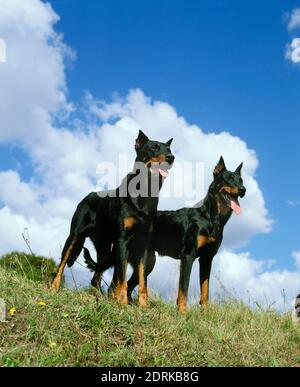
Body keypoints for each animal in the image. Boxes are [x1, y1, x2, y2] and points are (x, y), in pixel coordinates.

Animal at [51, 131, 173, 310]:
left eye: (169, 149)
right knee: (63, 263)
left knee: (99, 277)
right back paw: (54, 287)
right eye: (154, 147)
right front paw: (121, 302)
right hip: (76, 237)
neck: (145, 193)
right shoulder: (122, 240)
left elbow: (142, 280)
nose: (171, 158)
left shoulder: (143, 246)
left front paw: (143, 305)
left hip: (116, 250)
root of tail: (88, 196)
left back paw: (106, 297)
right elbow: (122, 276)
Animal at [84, 157, 246, 312]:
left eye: (241, 180)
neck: (211, 218)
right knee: (116, 284)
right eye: (229, 178)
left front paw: (205, 315)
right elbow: (184, 288)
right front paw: (182, 313)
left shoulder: (207, 259)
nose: (243, 190)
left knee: (126, 285)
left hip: (146, 262)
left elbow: (205, 291)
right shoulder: (188, 256)